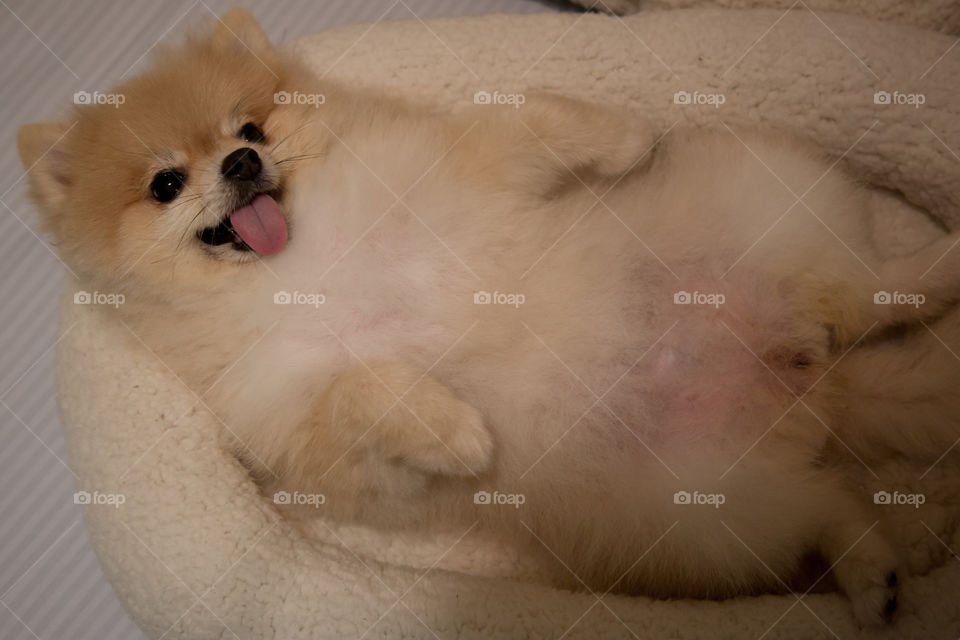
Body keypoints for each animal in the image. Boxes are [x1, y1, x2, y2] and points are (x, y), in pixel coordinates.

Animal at [18, 6, 960, 624]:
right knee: (828, 497)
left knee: (870, 290)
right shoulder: (311, 433)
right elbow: (369, 389)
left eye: (249, 127)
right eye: (165, 182)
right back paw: (873, 573)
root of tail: (815, 388)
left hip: (771, 214)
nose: (243, 164)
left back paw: (940, 263)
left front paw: (630, 140)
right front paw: (458, 434)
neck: (309, 267)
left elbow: (533, 123)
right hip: (713, 515)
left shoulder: (464, 174)